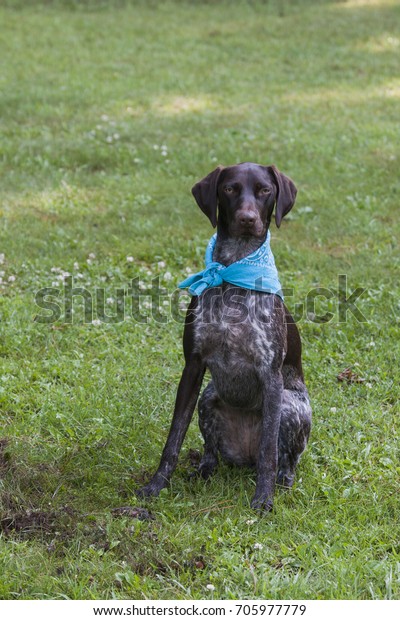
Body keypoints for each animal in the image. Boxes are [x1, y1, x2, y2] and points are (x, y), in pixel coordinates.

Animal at [138, 162, 312, 512]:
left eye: (264, 190)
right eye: (230, 189)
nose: (247, 218)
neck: (232, 270)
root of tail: (243, 457)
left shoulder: (270, 375)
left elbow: (269, 452)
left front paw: (263, 499)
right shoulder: (192, 366)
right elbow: (174, 437)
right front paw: (156, 486)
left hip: (290, 405)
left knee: (284, 458)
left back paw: (283, 480)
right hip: (209, 397)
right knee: (212, 450)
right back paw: (204, 469)